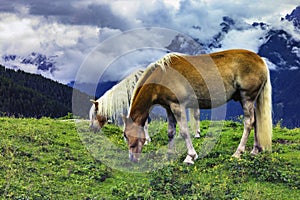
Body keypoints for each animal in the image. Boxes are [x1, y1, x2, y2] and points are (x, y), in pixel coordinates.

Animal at [122, 48, 272, 164]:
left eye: (132, 136)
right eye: (125, 136)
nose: (132, 159)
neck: (162, 76)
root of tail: (260, 60)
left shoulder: (178, 107)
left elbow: (184, 131)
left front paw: (190, 157)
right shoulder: (169, 108)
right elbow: (171, 132)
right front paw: (169, 154)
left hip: (246, 98)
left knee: (249, 122)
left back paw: (238, 152)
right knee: (256, 121)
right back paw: (255, 150)